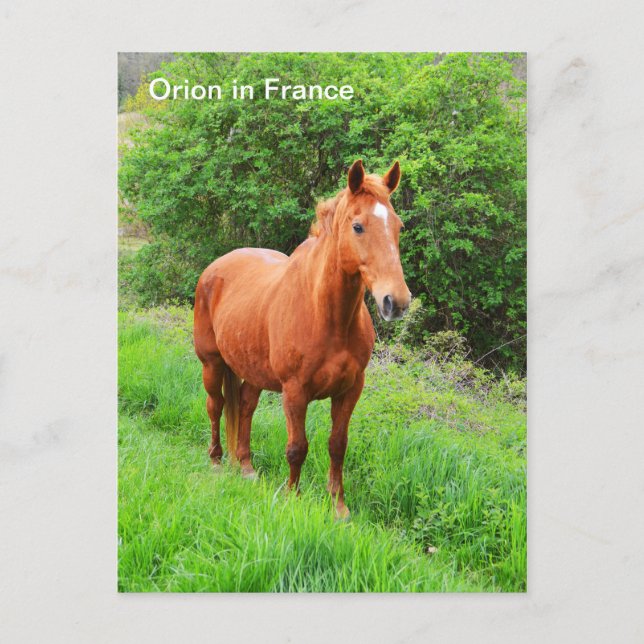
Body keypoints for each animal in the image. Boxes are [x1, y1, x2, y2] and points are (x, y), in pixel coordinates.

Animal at [193, 160, 411, 518]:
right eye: (358, 226)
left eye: (398, 226)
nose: (397, 301)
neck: (326, 316)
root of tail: (215, 268)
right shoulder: (295, 391)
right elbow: (297, 447)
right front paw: (292, 499)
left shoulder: (351, 390)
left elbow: (338, 446)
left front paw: (338, 507)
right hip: (211, 364)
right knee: (216, 406)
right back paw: (215, 461)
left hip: (254, 371)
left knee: (245, 407)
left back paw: (246, 467)